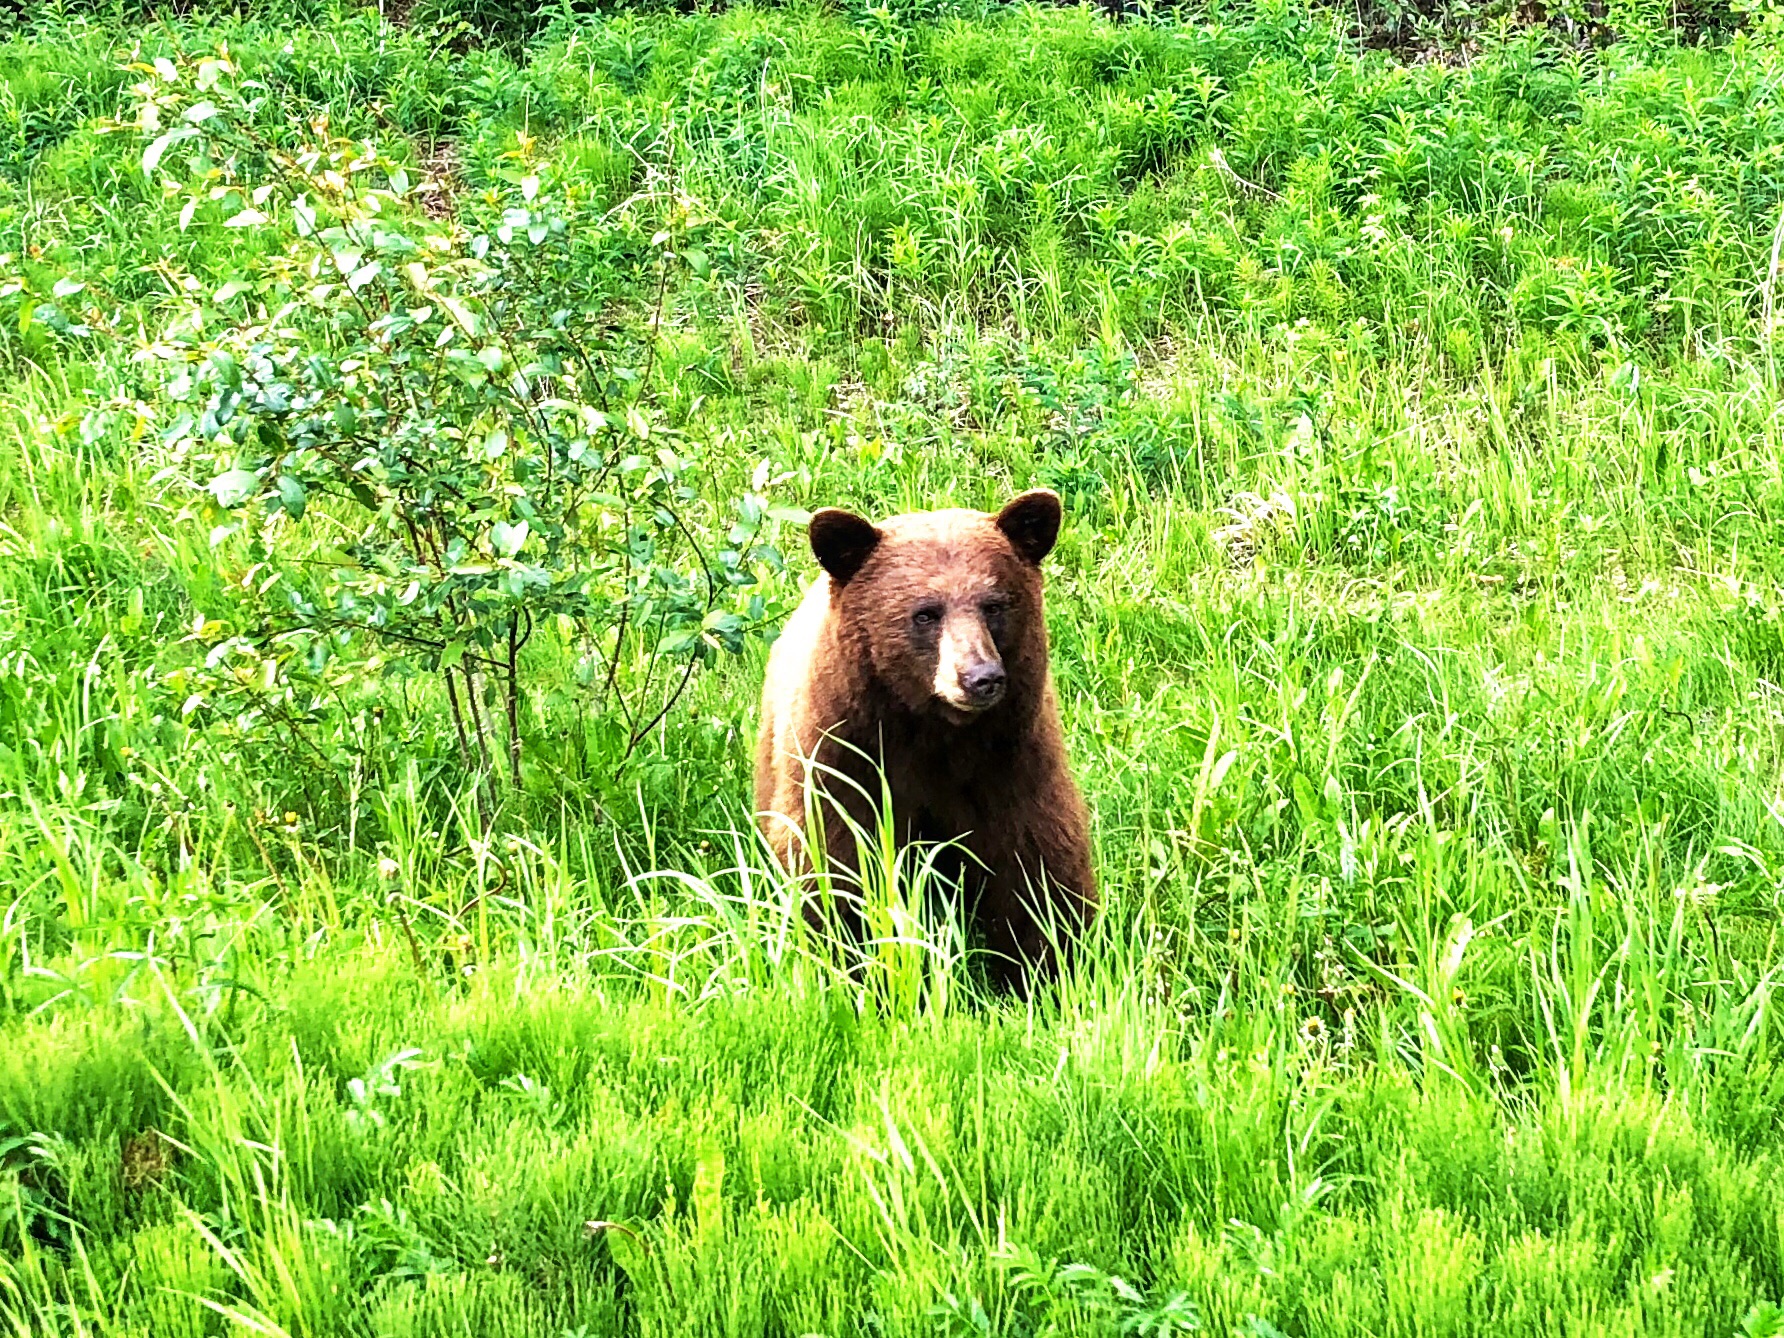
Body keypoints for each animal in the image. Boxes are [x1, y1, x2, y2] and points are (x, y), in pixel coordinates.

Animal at [749, 488, 1091, 991]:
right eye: (925, 613)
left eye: (995, 605)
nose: (980, 677)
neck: (932, 731)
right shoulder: (842, 753)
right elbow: (833, 856)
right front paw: (850, 960)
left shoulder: (1011, 757)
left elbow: (1036, 857)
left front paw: (1046, 965)